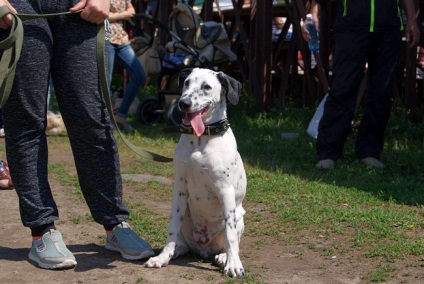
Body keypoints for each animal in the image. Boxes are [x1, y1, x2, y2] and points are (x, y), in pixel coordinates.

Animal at [145, 68, 247, 278]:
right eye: (186, 83)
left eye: (206, 87)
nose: (183, 103)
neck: (200, 140)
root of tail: (203, 249)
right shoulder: (180, 188)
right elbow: (172, 229)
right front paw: (163, 257)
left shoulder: (226, 190)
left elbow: (231, 236)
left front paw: (234, 265)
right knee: (181, 241)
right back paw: (174, 251)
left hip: (240, 216)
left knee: (230, 240)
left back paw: (224, 257)